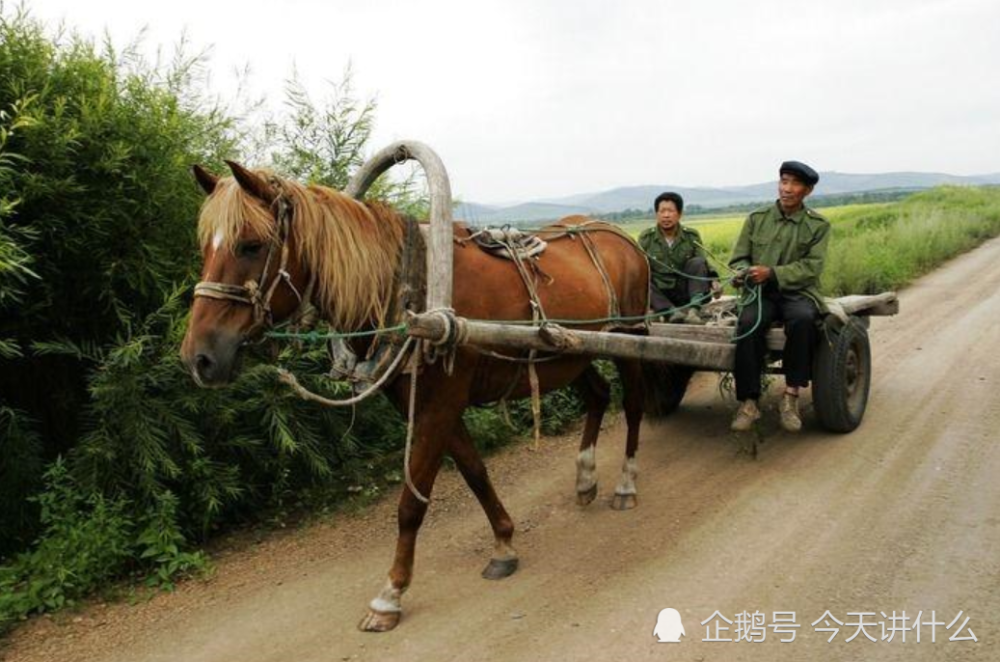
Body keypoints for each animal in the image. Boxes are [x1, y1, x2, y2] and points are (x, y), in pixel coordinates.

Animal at [180, 161, 648, 632]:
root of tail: (619, 235)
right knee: (598, 395)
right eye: (205, 246)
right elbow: (475, 472)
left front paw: (391, 593)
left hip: (632, 336)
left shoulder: (439, 406)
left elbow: (411, 503)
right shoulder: (427, 406)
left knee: (633, 405)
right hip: (571, 353)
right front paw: (503, 542)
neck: (406, 290)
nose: (199, 358)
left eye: (251, 245)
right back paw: (585, 477)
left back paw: (625, 484)